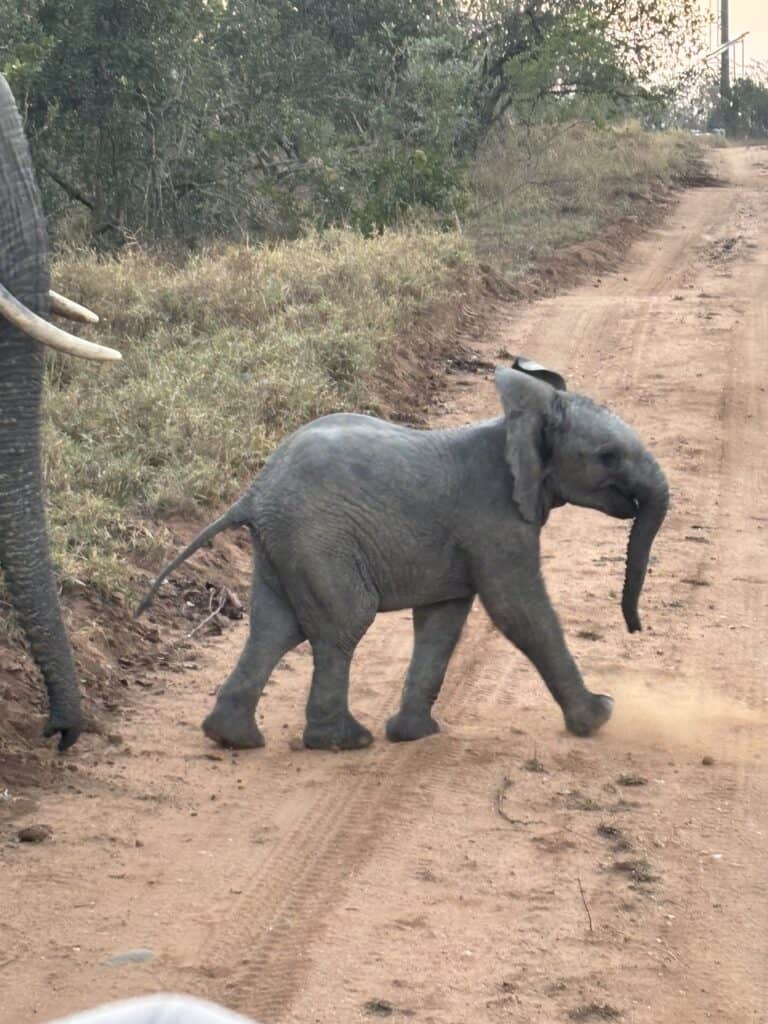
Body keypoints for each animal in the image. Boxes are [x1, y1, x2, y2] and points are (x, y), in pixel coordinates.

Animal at [138, 356, 669, 751]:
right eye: (607, 456)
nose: (635, 627)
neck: (517, 420)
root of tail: (252, 492)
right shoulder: (495, 520)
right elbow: (518, 610)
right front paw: (600, 717)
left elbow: (443, 621)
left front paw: (414, 735)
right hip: (318, 538)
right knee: (342, 624)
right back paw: (343, 742)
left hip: (281, 544)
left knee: (275, 628)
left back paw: (232, 738)